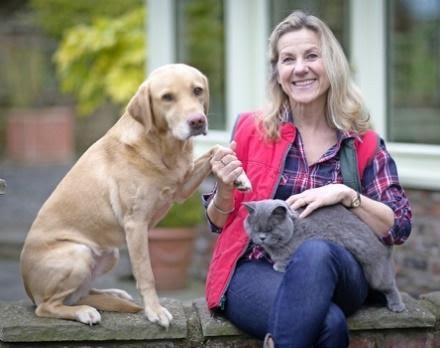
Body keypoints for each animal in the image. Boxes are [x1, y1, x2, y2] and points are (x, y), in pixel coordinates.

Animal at [244, 198, 406, 312]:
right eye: (256, 229)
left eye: (270, 229)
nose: (262, 237)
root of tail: (385, 245)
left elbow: (287, 256)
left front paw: (279, 266)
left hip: (376, 273)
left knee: (390, 285)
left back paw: (397, 305)